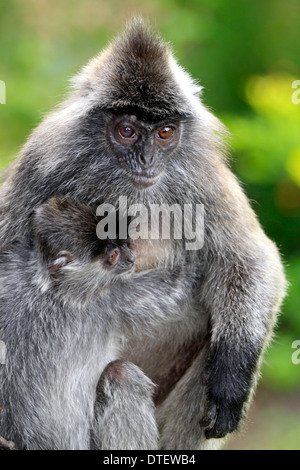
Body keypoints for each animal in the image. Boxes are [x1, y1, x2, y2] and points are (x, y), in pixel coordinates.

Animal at [0, 20, 286, 450]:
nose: (147, 161)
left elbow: (250, 258)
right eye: (127, 130)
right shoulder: (46, 158)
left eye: (165, 132)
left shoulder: (201, 171)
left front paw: (230, 381)